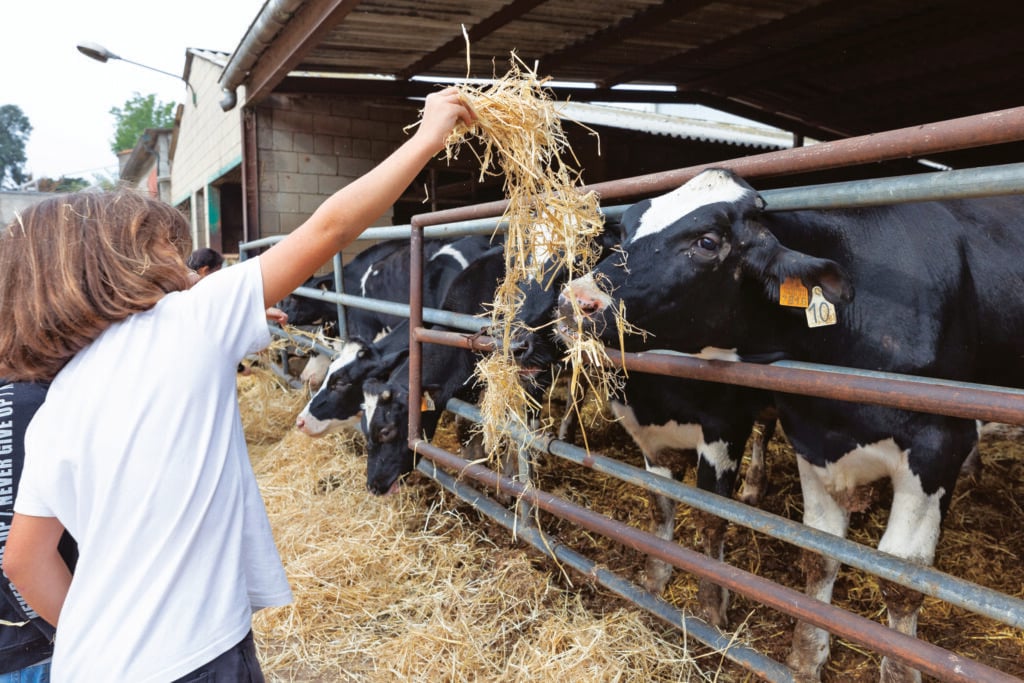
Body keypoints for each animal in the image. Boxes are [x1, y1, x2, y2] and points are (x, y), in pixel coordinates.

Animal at [561, 167, 1024, 679]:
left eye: (706, 242)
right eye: (625, 230)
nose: (574, 300)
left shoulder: (937, 446)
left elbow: (902, 576)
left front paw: (900, 671)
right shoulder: (809, 437)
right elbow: (817, 554)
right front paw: (805, 655)